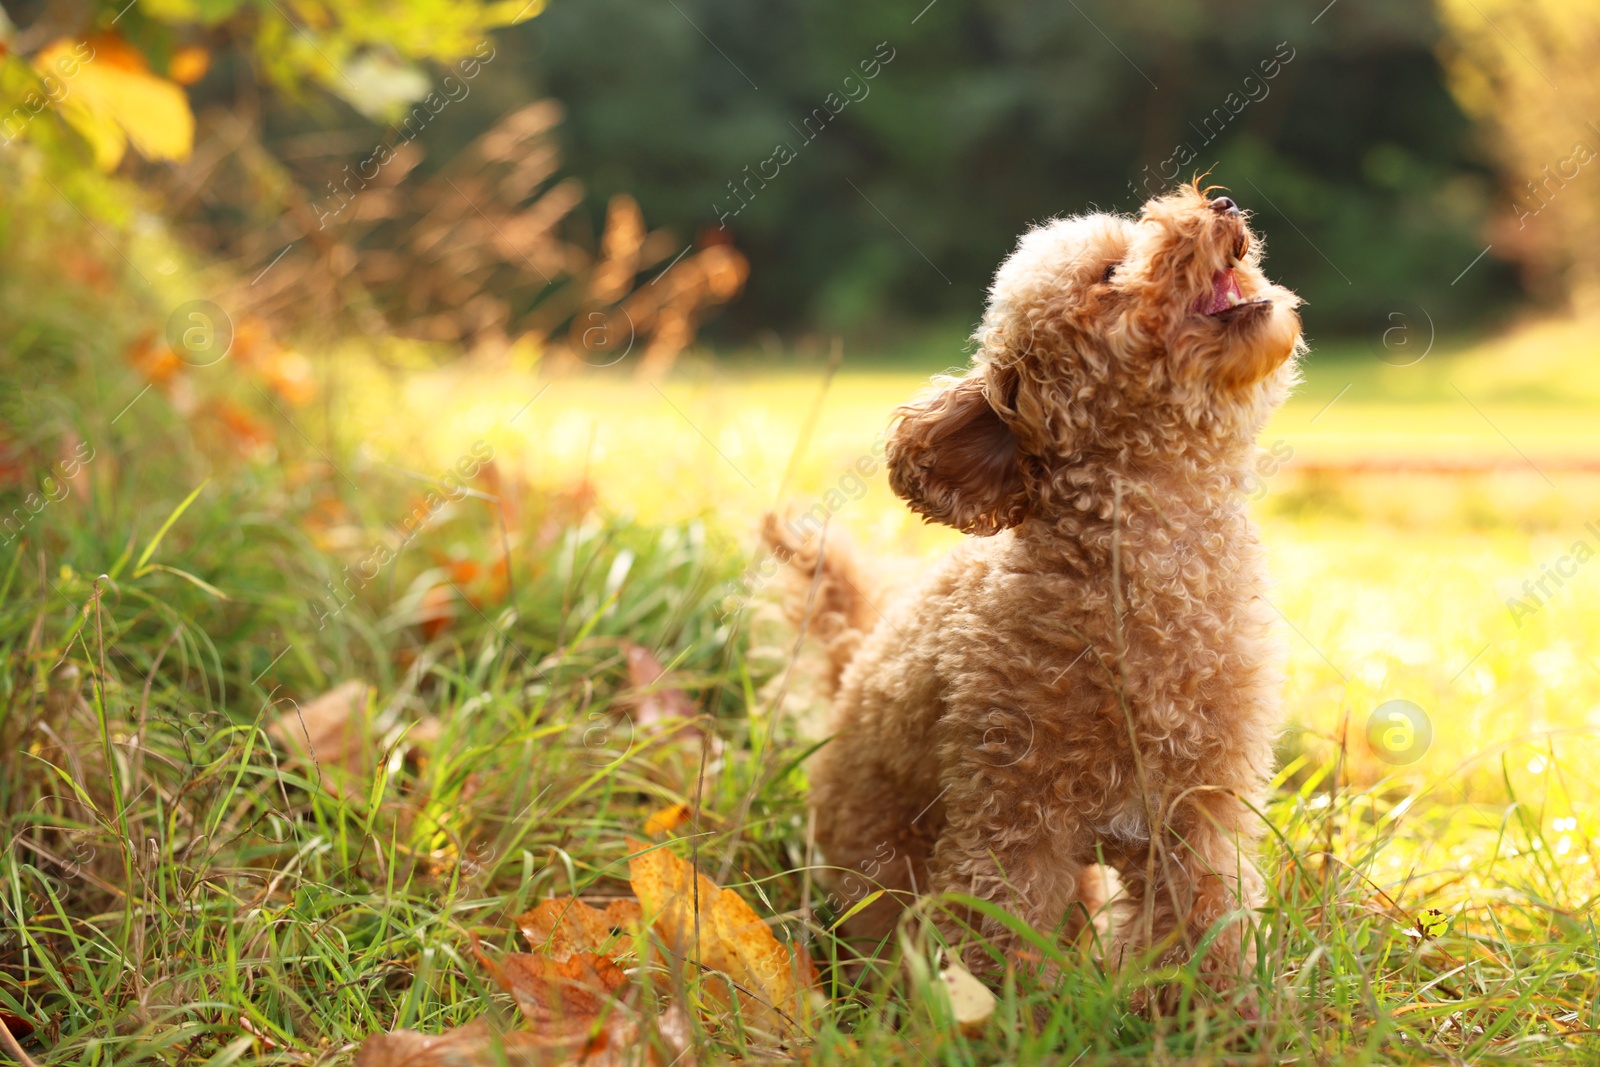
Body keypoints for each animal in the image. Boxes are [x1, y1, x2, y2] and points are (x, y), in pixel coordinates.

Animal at [761, 183, 1299, 1011]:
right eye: (1110, 272)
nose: (1223, 204)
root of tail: (853, 664)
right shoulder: (1012, 813)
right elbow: (1001, 931)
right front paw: (1013, 1016)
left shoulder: (1197, 806)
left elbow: (1203, 915)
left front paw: (1211, 1014)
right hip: (879, 857)